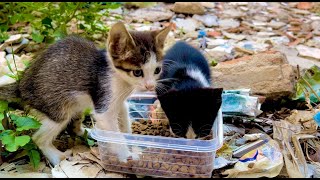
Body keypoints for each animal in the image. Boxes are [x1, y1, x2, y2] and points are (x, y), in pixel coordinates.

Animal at [16, 21, 171, 165]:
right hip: (57, 107)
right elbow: (115, 134)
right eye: (137, 72)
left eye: (157, 70)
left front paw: (133, 145)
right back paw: (56, 157)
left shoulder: (119, 102)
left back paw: (87, 132)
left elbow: (124, 121)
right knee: (38, 138)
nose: (150, 86)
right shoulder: (104, 103)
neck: (119, 79)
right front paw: (127, 155)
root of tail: (21, 85)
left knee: (72, 127)